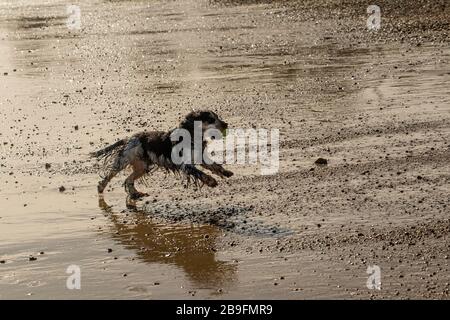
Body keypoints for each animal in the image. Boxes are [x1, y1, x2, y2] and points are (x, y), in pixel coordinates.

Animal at [89, 111, 234, 199]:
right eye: (211, 119)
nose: (226, 124)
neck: (192, 136)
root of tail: (129, 139)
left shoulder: (200, 156)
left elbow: (215, 165)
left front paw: (226, 172)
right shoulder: (185, 165)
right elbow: (200, 173)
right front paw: (211, 181)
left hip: (142, 167)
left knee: (129, 180)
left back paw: (136, 193)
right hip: (124, 160)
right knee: (109, 176)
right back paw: (101, 187)